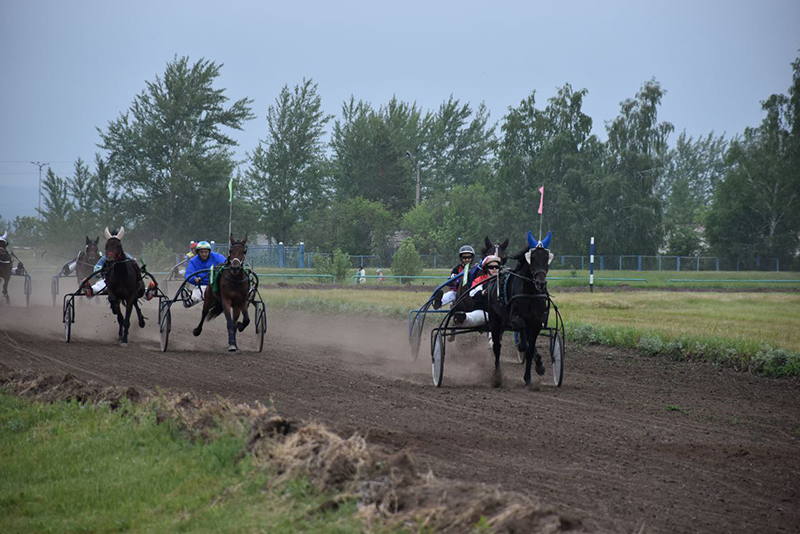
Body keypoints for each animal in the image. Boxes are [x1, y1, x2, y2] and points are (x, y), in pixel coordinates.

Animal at [482, 232, 556, 388]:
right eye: (532, 259)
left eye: (546, 259)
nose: (540, 283)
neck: (529, 293)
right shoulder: (514, 318)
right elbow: (522, 330)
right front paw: (522, 346)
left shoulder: (536, 323)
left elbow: (530, 349)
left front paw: (530, 376)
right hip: (495, 320)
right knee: (497, 347)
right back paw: (497, 377)